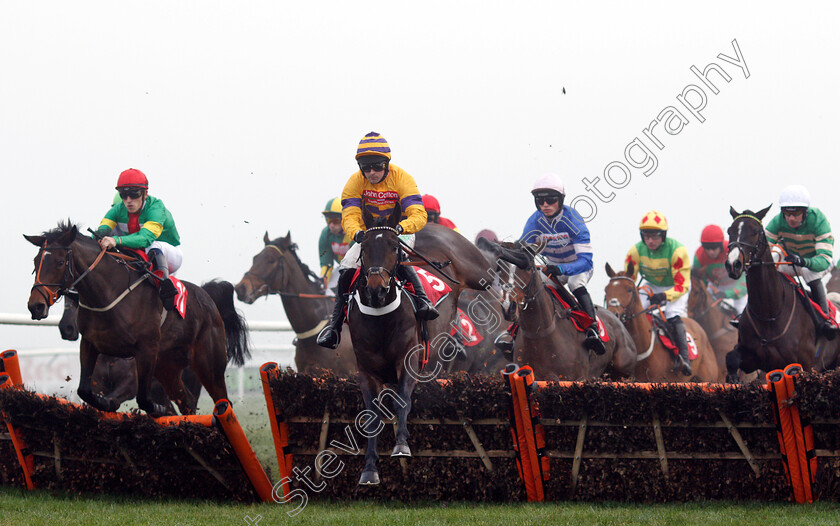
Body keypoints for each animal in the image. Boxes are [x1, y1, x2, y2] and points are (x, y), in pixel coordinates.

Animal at [25, 223, 249, 416]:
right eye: (36, 262)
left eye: (60, 262)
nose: (36, 306)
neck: (110, 295)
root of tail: (207, 298)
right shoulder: (90, 346)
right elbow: (84, 391)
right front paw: (104, 403)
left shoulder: (145, 353)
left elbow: (143, 399)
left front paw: (156, 409)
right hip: (168, 368)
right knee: (186, 401)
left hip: (208, 367)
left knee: (221, 401)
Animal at [720, 207, 840, 380]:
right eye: (730, 230)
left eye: (755, 231)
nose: (733, 264)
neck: (769, 314)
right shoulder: (753, 360)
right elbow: (731, 358)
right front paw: (733, 377)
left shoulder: (804, 365)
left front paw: (797, 259)